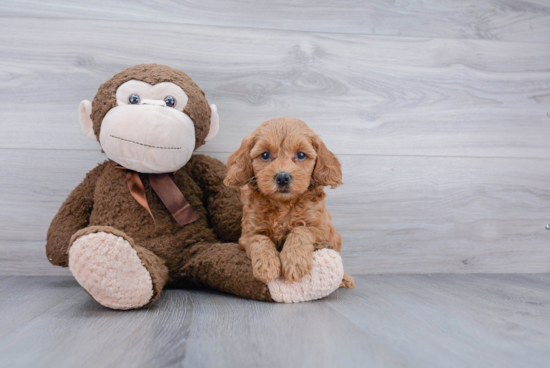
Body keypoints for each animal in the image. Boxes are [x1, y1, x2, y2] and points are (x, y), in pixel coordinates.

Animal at [225, 117, 358, 288]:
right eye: (265, 155)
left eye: (301, 155)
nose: (282, 177)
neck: (283, 204)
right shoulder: (247, 234)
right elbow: (259, 239)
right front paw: (267, 265)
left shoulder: (323, 229)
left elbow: (301, 230)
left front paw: (294, 262)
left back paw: (345, 279)